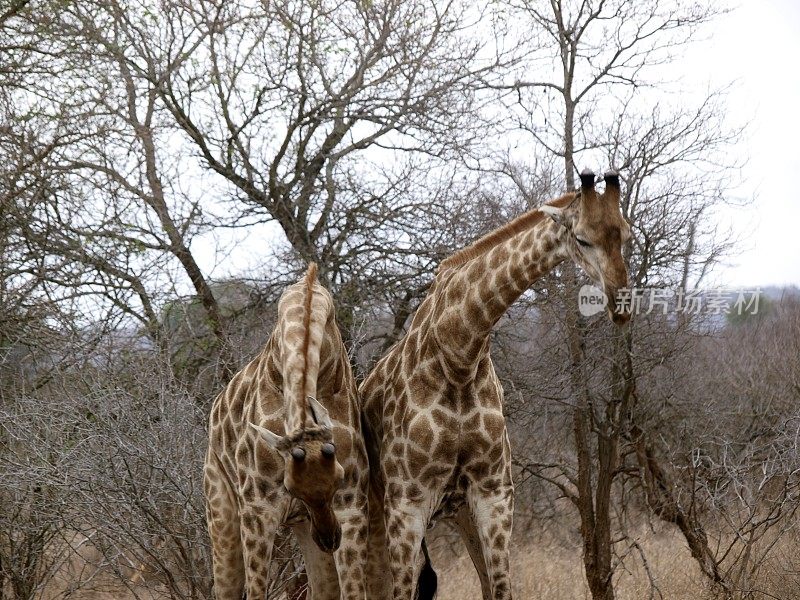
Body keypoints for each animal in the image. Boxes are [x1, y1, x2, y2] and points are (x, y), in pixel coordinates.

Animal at [205, 264, 370, 600]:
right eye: (291, 487)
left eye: (338, 478)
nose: (330, 538)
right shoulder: (257, 510)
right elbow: (256, 594)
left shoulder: (351, 505)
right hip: (221, 514)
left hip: (302, 526)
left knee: (321, 589)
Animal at [362, 170, 632, 600]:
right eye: (582, 238)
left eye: (624, 233)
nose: (620, 303)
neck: (458, 354)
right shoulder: (406, 502)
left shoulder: (493, 493)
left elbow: (500, 588)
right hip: (367, 522)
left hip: (456, 514)